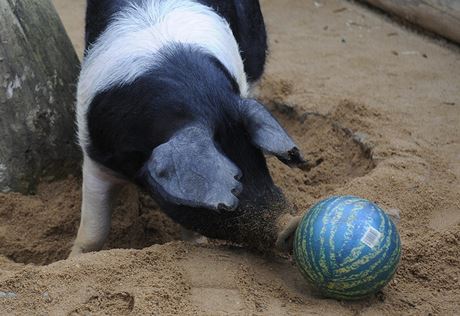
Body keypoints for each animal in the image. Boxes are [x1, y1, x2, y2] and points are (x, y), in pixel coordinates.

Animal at [70, 0, 308, 256]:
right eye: (235, 183)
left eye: (258, 161)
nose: (292, 226)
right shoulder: (95, 154)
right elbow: (94, 230)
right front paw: (73, 258)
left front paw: (196, 245)